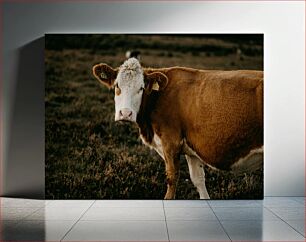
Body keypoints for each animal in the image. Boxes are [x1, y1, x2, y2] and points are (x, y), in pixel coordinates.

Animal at [91, 57, 262, 199]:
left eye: (141, 88)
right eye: (117, 86)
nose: (125, 113)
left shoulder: (170, 144)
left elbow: (171, 180)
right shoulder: (192, 149)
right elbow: (198, 180)